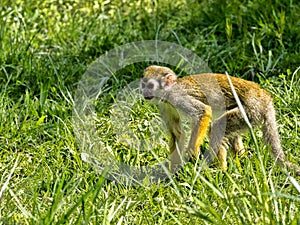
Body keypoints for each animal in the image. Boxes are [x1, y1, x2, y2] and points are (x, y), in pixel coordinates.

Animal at [141, 64, 300, 174]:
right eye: (143, 85)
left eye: (150, 85)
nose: (144, 92)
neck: (167, 92)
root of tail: (264, 96)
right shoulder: (164, 104)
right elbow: (176, 133)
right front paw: (173, 173)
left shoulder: (177, 96)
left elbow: (203, 112)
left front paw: (192, 153)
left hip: (252, 109)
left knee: (216, 126)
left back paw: (222, 171)